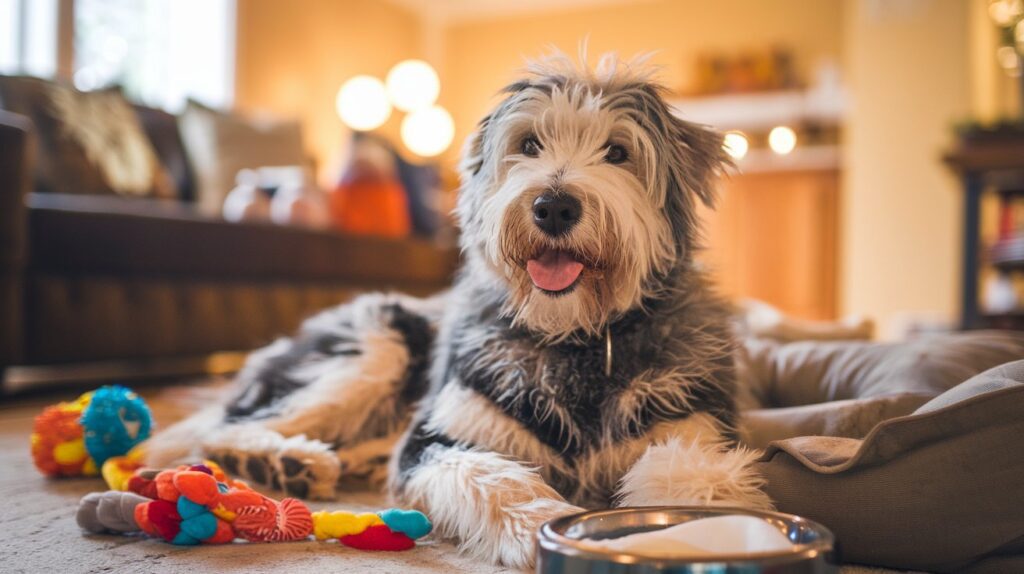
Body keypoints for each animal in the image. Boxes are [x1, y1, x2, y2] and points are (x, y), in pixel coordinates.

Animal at [144, 51, 770, 564]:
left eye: (618, 152)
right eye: (528, 144)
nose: (553, 206)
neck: (577, 338)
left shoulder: (699, 434)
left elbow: (691, 482)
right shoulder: (442, 437)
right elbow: (489, 476)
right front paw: (541, 525)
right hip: (375, 344)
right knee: (223, 426)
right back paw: (285, 460)